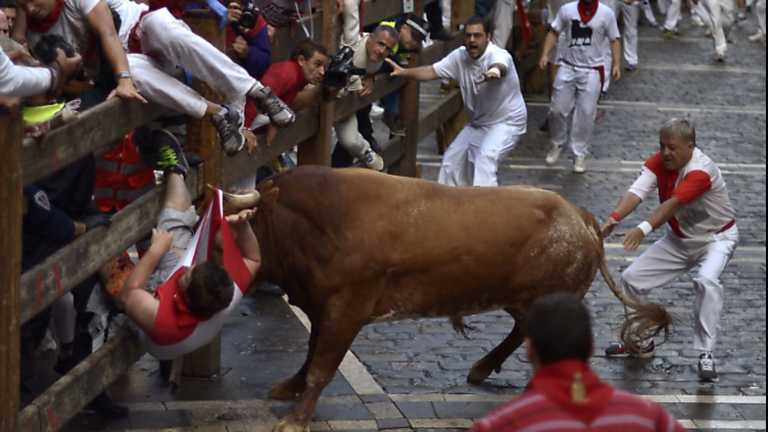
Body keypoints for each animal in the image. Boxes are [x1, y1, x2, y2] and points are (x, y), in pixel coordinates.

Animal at [224, 165, 672, 432]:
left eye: (230, 226)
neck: (320, 223)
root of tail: (578, 216)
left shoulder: (344, 309)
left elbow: (322, 364)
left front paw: (296, 419)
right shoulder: (321, 306)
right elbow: (311, 353)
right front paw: (290, 386)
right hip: (520, 298)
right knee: (521, 330)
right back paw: (482, 369)